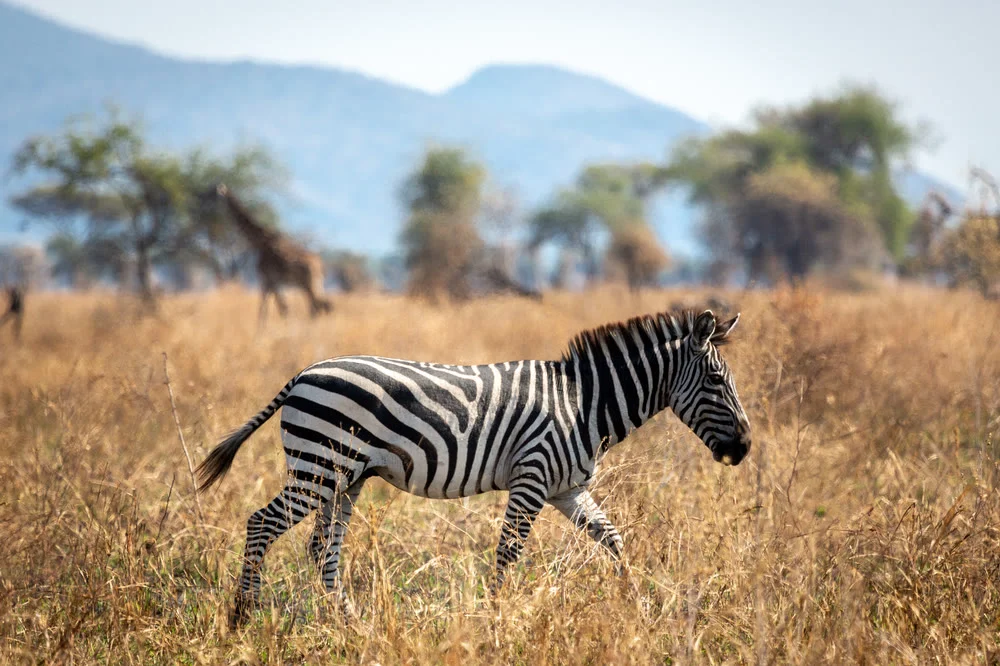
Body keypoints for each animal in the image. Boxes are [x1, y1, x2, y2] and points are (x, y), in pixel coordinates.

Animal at [197, 308, 752, 627]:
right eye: (716, 382)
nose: (745, 448)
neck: (583, 404)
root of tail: (304, 373)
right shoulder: (532, 477)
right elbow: (508, 553)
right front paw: (495, 621)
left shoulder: (566, 488)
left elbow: (613, 538)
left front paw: (637, 606)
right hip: (320, 466)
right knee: (262, 523)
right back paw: (242, 616)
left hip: (343, 477)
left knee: (320, 548)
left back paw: (349, 623)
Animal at [215, 184, 332, 324]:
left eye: (217, 192)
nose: (210, 195)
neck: (258, 241)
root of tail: (321, 265)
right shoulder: (270, 282)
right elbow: (265, 311)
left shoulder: (268, 279)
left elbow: (280, 309)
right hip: (314, 284)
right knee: (320, 306)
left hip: (309, 284)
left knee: (318, 306)